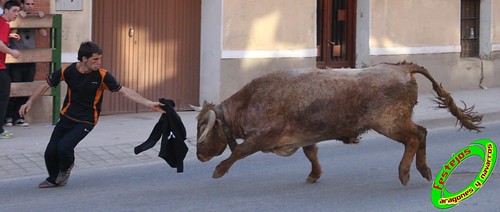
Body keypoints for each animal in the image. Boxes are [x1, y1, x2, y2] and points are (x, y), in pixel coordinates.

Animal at [194, 61, 480, 186]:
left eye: (201, 128)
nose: (198, 156)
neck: (249, 102)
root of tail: (400, 67)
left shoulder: (262, 137)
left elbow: (240, 151)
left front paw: (219, 170)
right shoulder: (305, 135)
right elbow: (311, 153)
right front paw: (314, 175)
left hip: (389, 122)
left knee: (414, 136)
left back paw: (405, 173)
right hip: (397, 120)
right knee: (422, 132)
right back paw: (423, 170)